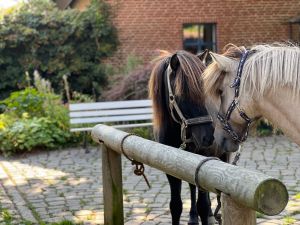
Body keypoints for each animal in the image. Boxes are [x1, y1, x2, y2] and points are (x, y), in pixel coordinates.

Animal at [149, 50, 216, 225]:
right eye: (182, 94)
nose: (208, 137)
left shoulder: (203, 161)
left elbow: (203, 204)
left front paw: (206, 213)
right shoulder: (171, 167)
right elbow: (176, 206)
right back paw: (193, 217)